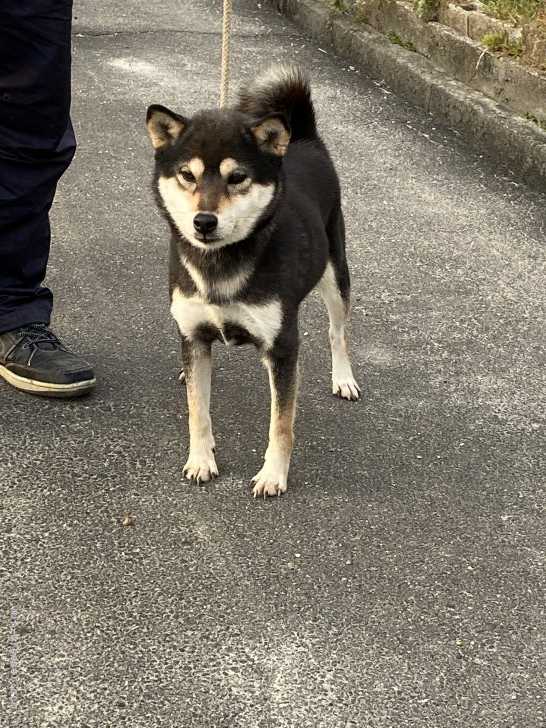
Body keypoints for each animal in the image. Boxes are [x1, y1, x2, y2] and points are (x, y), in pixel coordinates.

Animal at [146, 64, 356, 494]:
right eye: (186, 175)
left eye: (237, 177)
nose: (203, 222)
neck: (220, 262)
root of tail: (305, 139)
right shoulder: (194, 335)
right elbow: (198, 411)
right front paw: (201, 460)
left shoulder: (282, 345)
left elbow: (281, 423)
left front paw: (273, 474)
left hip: (335, 273)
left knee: (337, 331)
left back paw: (344, 378)